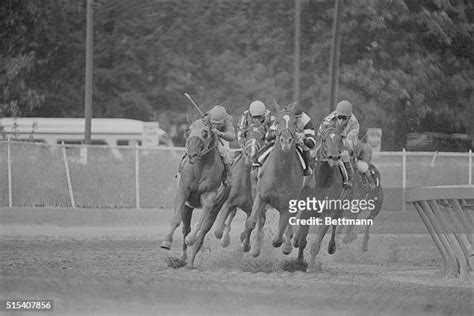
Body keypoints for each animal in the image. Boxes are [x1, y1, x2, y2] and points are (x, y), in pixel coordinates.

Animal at [161, 118, 230, 266]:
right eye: (188, 130)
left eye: (205, 133)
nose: (192, 153)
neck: (200, 168)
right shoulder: (183, 191)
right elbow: (176, 219)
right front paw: (166, 242)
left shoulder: (209, 197)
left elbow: (201, 222)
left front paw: (191, 239)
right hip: (187, 208)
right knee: (186, 229)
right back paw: (183, 258)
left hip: (217, 207)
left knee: (203, 232)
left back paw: (191, 263)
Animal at [241, 102, 304, 258]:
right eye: (277, 122)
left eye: (294, 123)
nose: (286, 142)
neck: (280, 174)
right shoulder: (261, 196)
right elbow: (252, 222)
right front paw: (248, 246)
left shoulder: (288, 205)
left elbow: (279, 236)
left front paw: (285, 245)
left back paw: (287, 245)